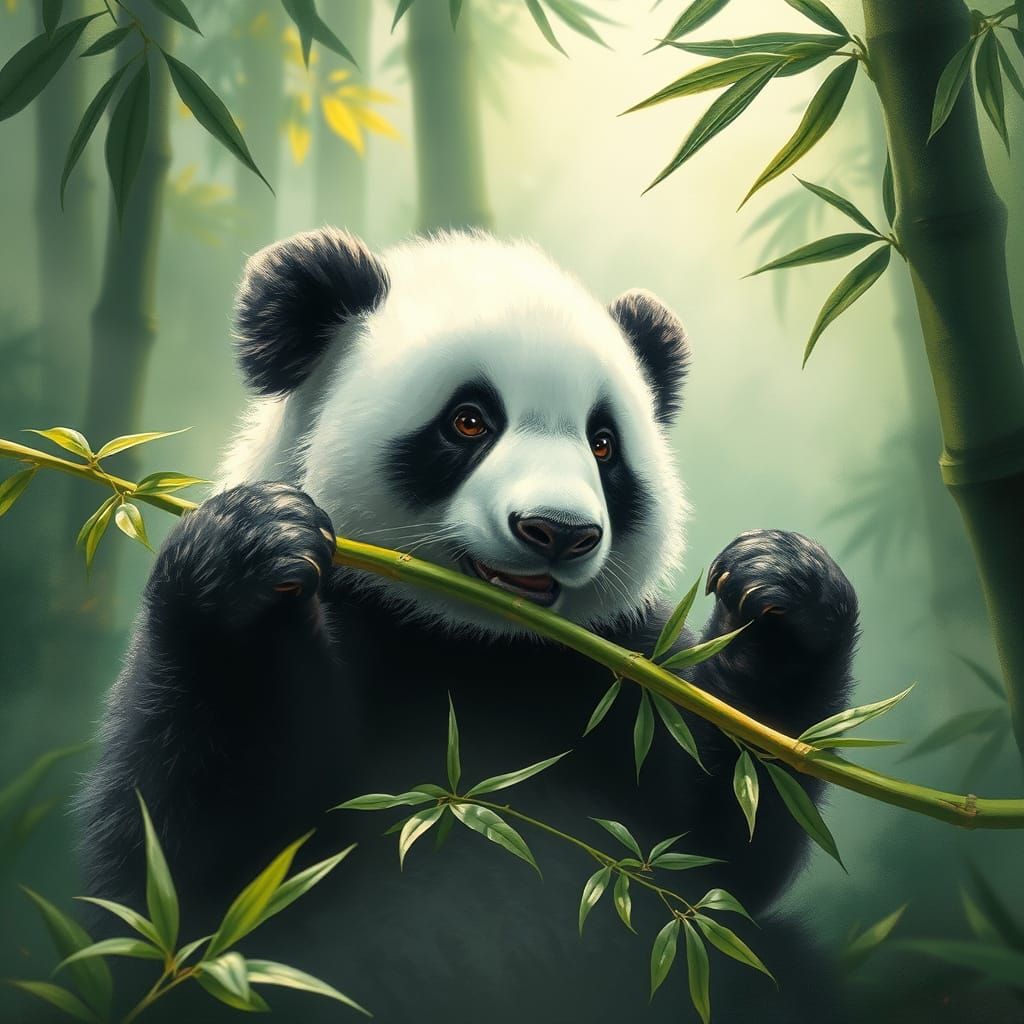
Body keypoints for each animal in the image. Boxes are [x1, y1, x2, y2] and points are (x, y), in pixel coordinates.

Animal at [77, 229, 859, 1023]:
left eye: (603, 444)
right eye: (470, 420)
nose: (557, 531)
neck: (474, 642)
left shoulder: (620, 669)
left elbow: (717, 843)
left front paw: (781, 584)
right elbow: (176, 864)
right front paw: (252, 547)